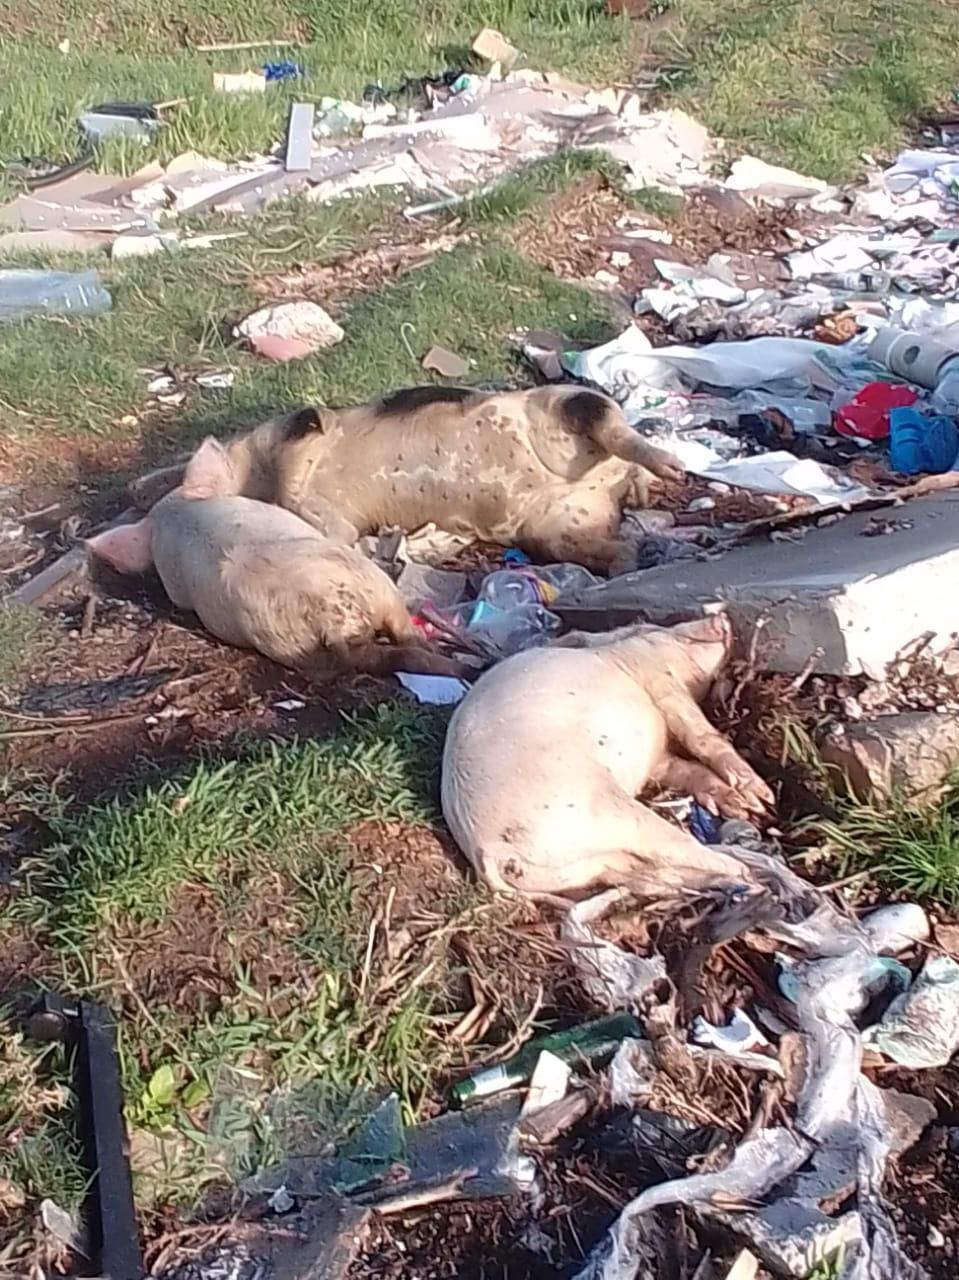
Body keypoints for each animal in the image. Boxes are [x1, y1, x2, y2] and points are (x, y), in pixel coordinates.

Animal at [86, 437, 461, 677]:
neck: (178, 518)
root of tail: (328, 615)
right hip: (359, 600)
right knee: (403, 644)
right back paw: (454, 664)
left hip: (325, 629)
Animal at [129, 384, 685, 576]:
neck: (260, 481)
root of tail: (605, 484)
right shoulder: (331, 517)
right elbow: (336, 532)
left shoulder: (289, 436)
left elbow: (306, 426)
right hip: (557, 528)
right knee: (609, 543)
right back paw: (633, 554)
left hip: (562, 408)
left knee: (613, 425)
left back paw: (669, 469)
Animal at [441, 614, 775, 899]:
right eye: (648, 627)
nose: (722, 615)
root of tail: (486, 848)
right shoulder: (654, 672)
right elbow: (700, 732)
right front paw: (762, 798)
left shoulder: (657, 761)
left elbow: (687, 770)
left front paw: (743, 808)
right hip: (600, 805)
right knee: (674, 847)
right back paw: (748, 873)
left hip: (583, 866)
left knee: (639, 874)